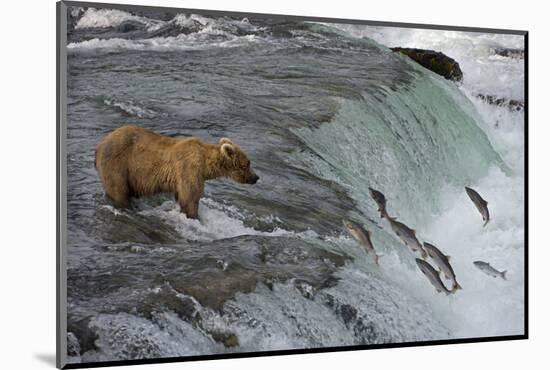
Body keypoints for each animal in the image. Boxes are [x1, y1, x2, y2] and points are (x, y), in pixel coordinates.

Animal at [95, 125, 260, 217]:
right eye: (248, 163)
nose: (256, 177)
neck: (206, 166)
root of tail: (100, 143)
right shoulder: (189, 170)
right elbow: (190, 198)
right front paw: (193, 216)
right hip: (118, 164)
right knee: (118, 190)